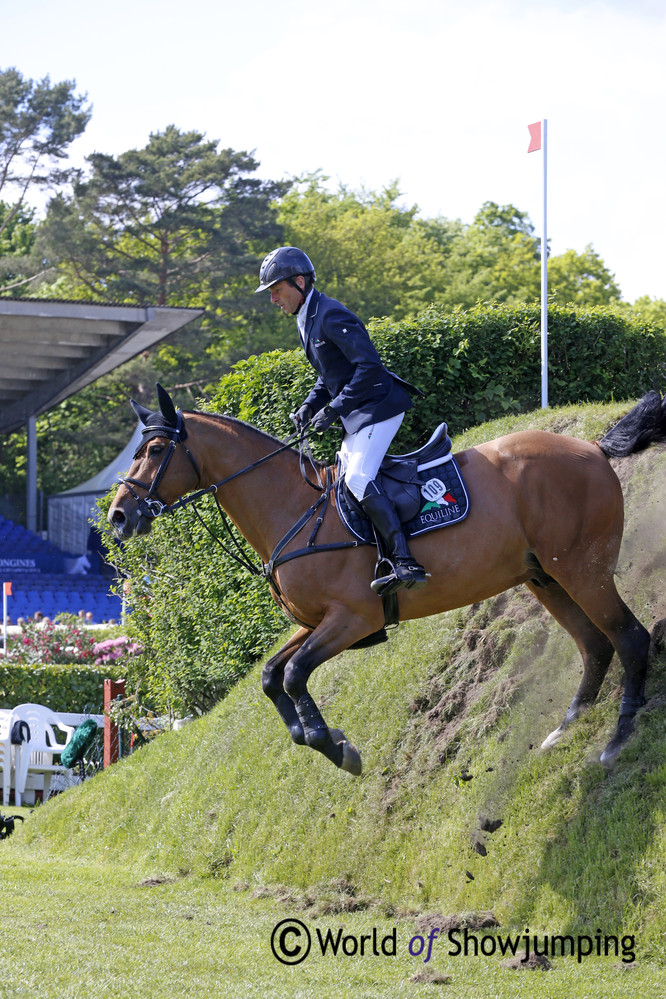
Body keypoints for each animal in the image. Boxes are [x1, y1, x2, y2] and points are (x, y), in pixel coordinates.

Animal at [106, 386, 660, 776]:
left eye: (155, 449)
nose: (117, 517)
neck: (292, 506)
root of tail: (592, 447)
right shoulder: (317, 621)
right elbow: (270, 674)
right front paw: (320, 737)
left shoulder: (354, 619)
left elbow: (293, 675)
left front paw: (336, 748)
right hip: (545, 577)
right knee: (596, 646)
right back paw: (563, 732)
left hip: (581, 570)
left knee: (630, 638)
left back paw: (616, 743)